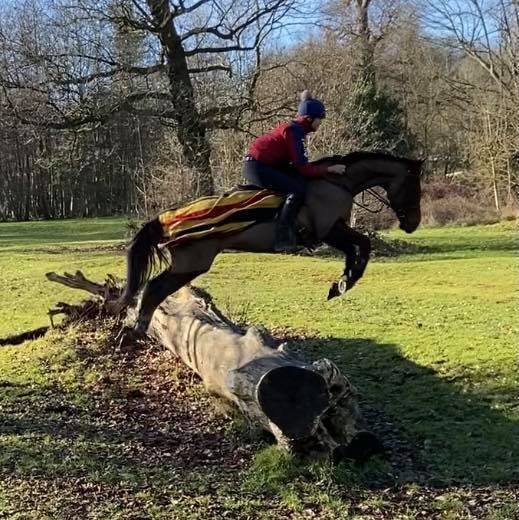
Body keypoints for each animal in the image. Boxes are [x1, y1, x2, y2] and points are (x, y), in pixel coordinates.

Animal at [111, 150, 424, 334]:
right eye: (414, 186)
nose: (412, 224)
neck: (337, 182)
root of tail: (165, 219)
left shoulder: (334, 231)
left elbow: (359, 248)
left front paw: (341, 283)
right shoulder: (329, 230)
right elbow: (362, 246)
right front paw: (344, 283)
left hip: (187, 265)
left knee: (152, 289)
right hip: (190, 264)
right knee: (153, 288)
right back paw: (137, 329)